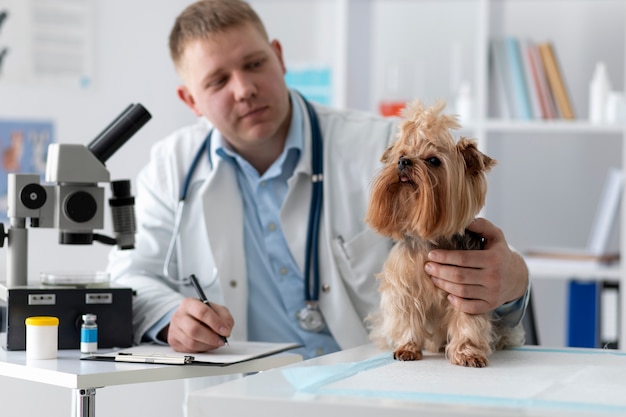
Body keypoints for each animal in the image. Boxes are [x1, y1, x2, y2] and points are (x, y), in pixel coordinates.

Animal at [364, 99, 524, 366]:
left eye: (433, 161)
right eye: (401, 155)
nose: (403, 162)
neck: (429, 240)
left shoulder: (469, 290)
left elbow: (468, 321)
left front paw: (468, 352)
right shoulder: (404, 286)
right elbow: (407, 316)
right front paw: (407, 347)